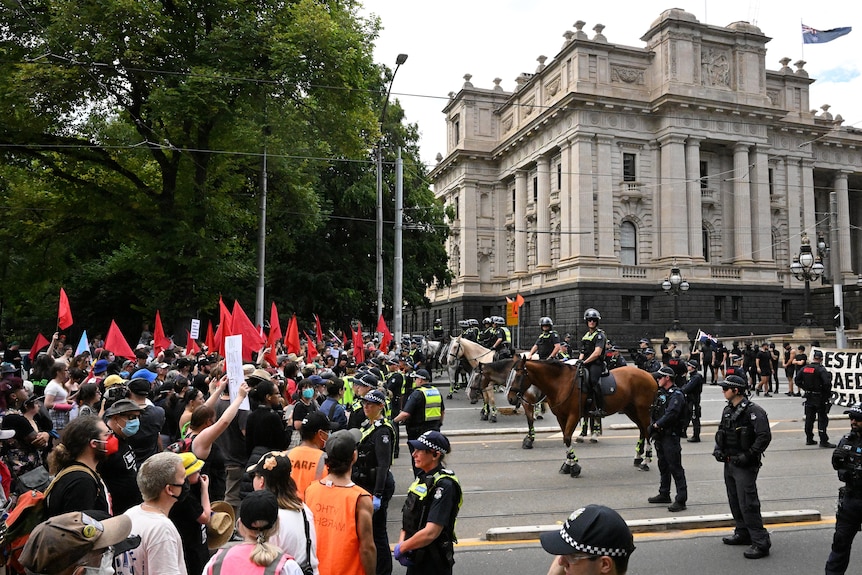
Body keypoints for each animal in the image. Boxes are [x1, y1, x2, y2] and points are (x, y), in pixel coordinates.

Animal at [510, 360, 660, 476]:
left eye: (518, 376)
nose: (511, 398)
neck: (561, 382)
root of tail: (649, 375)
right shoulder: (561, 417)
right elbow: (565, 438)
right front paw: (568, 464)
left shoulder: (574, 415)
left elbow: (567, 438)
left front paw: (574, 466)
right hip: (631, 410)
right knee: (642, 430)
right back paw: (638, 457)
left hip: (643, 411)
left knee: (647, 431)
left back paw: (646, 461)